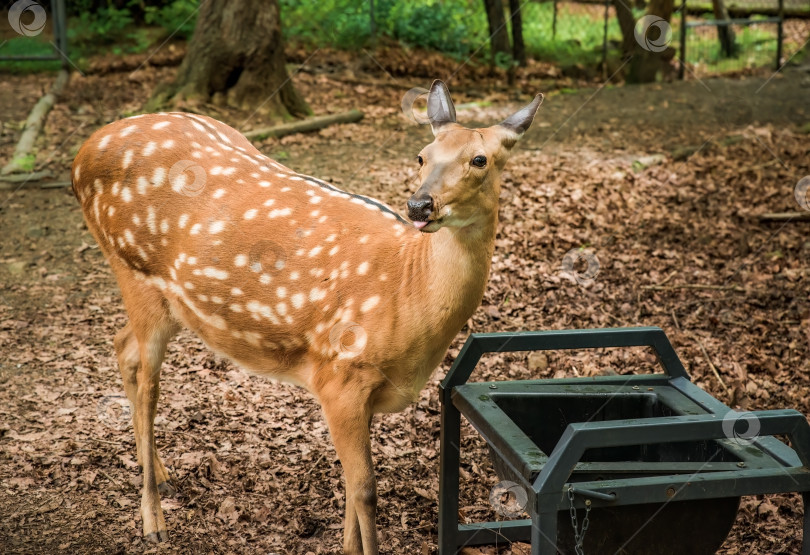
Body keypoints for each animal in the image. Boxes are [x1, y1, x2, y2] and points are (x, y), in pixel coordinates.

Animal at [72, 82, 540, 555]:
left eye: (480, 160)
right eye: (421, 155)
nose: (420, 205)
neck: (407, 292)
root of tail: (84, 151)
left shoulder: (361, 391)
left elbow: (353, 488)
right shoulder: (340, 375)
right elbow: (366, 490)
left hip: (166, 302)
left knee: (122, 347)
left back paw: (163, 475)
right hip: (134, 269)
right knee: (149, 386)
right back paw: (153, 519)